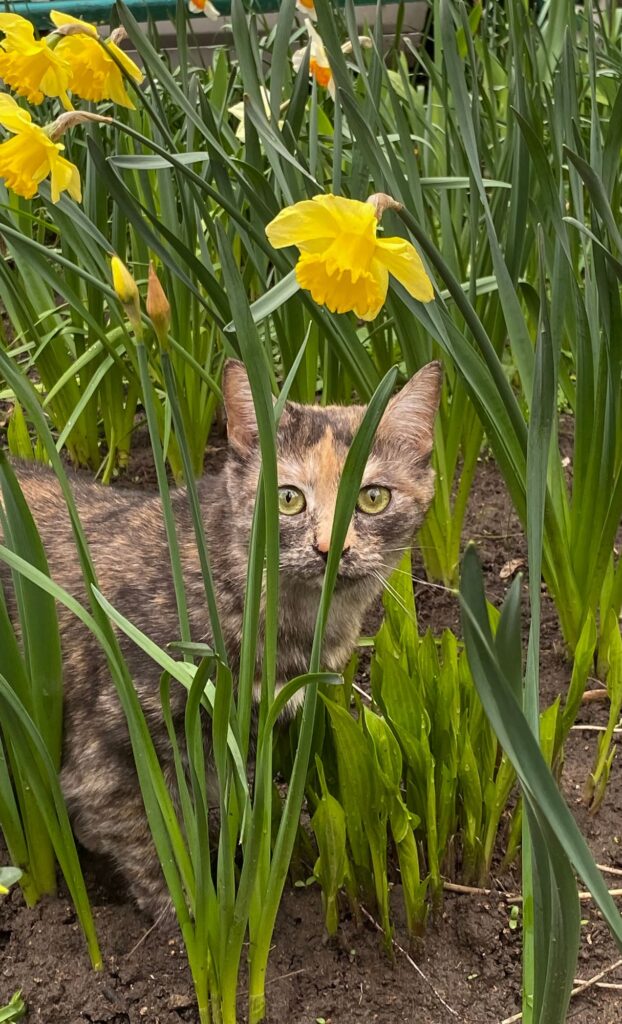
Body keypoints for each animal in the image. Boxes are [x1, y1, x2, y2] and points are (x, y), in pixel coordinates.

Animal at [0, 360, 442, 913]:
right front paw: (192, 915)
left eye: (374, 497)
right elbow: (159, 851)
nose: (328, 548)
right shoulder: (107, 760)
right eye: (288, 499)